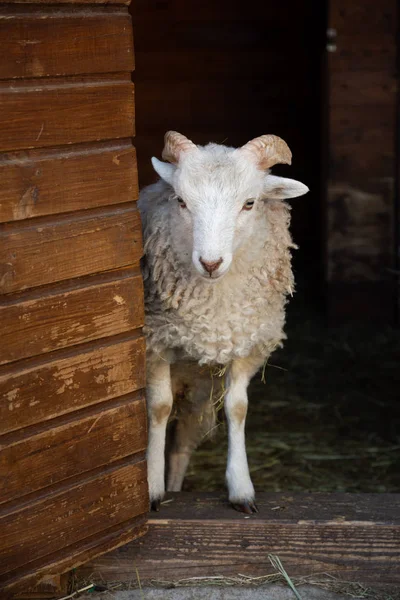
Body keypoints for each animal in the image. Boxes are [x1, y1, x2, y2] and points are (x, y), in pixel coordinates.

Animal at [138, 132, 310, 516]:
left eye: (249, 203)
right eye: (181, 201)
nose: (210, 263)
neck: (214, 313)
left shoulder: (246, 342)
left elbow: (238, 408)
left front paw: (241, 488)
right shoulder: (156, 343)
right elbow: (158, 408)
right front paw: (152, 486)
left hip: (199, 393)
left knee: (182, 444)